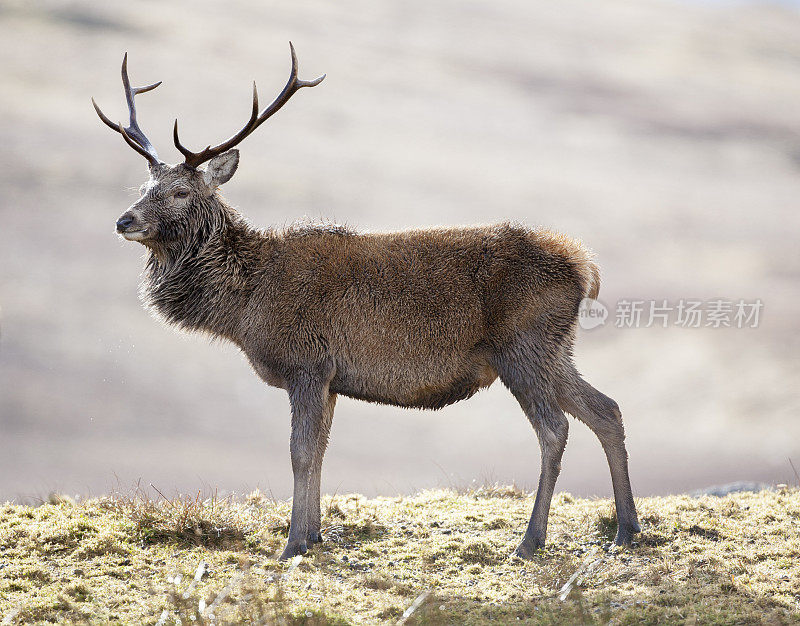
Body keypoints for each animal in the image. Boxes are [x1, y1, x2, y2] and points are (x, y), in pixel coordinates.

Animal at [94, 45, 640, 560]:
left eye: (180, 192)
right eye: (143, 187)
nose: (124, 220)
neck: (245, 305)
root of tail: (583, 267)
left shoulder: (307, 363)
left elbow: (299, 452)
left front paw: (291, 544)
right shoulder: (332, 378)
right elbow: (320, 450)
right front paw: (314, 535)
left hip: (522, 345)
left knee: (555, 429)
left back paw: (531, 540)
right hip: (556, 350)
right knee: (606, 410)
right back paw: (627, 529)